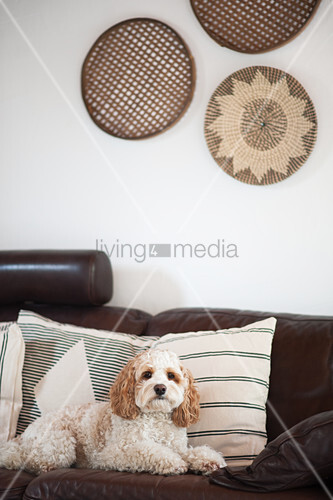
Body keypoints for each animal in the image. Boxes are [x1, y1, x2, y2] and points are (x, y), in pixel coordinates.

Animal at [0, 350, 226, 474]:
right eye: (147, 374)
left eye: (171, 376)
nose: (160, 388)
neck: (154, 417)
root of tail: (22, 435)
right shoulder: (114, 453)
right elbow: (150, 450)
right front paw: (174, 463)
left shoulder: (176, 445)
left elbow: (192, 451)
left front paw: (209, 460)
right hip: (61, 441)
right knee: (30, 462)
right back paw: (45, 467)